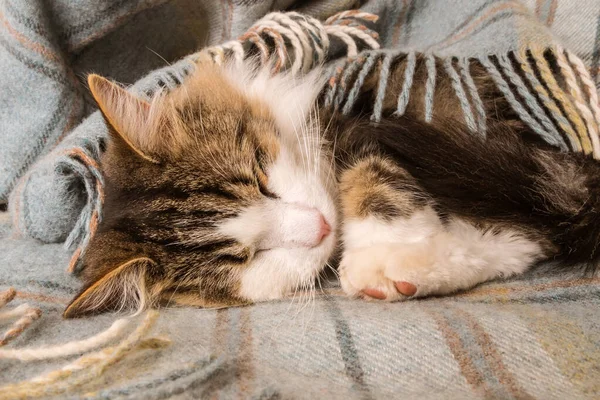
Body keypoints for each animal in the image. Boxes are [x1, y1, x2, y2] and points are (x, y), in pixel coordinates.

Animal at [61, 54, 600, 318]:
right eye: (246, 258)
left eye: (260, 174)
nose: (320, 227)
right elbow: (509, 245)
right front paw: (395, 268)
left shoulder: (367, 129)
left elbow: (371, 179)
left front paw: (386, 249)